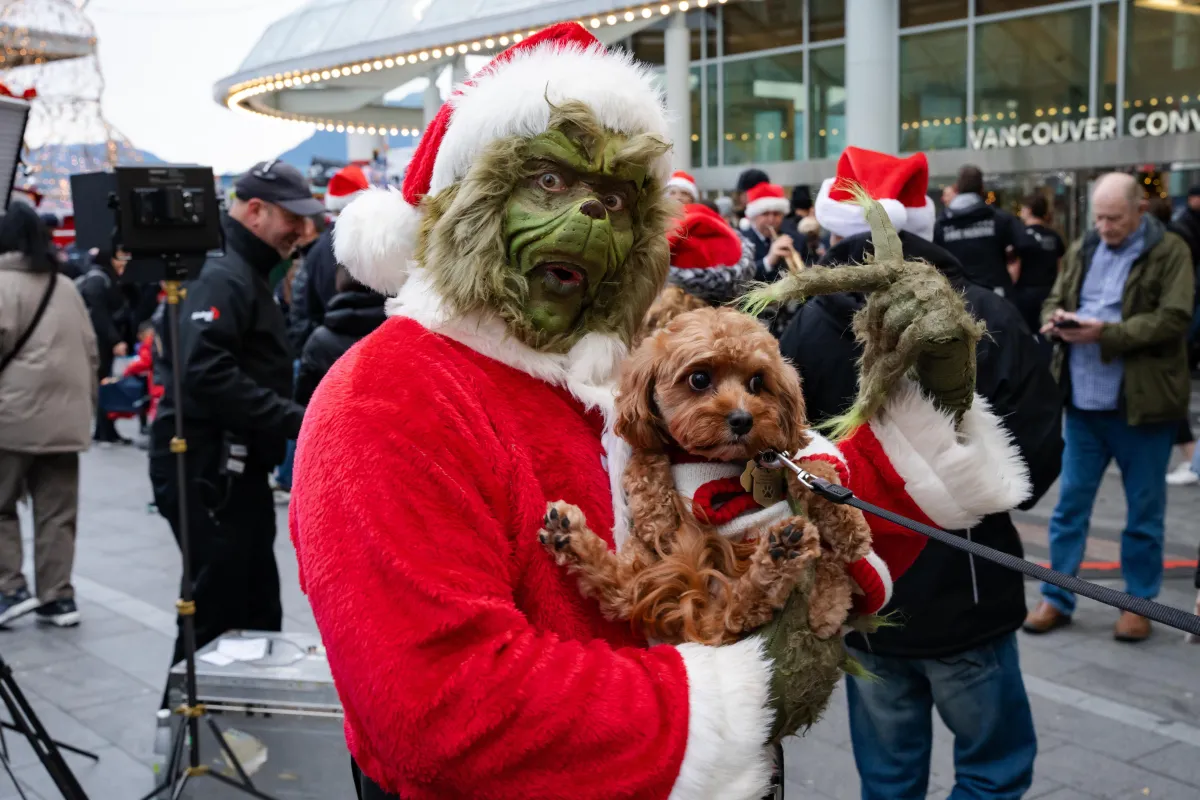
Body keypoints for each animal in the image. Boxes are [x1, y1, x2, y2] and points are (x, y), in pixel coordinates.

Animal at [540, 307, 868, 642]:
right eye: (699, 378)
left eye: (757, 381)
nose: (742, 419)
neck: (709, 458)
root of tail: (698, 611)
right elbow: (646, 461)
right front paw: (656, 514)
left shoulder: (779, 466)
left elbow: (815, 470)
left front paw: (851, 528)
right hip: (653, 568)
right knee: (630, 592)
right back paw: (568, 536)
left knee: (750, 607)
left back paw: (785, 553)